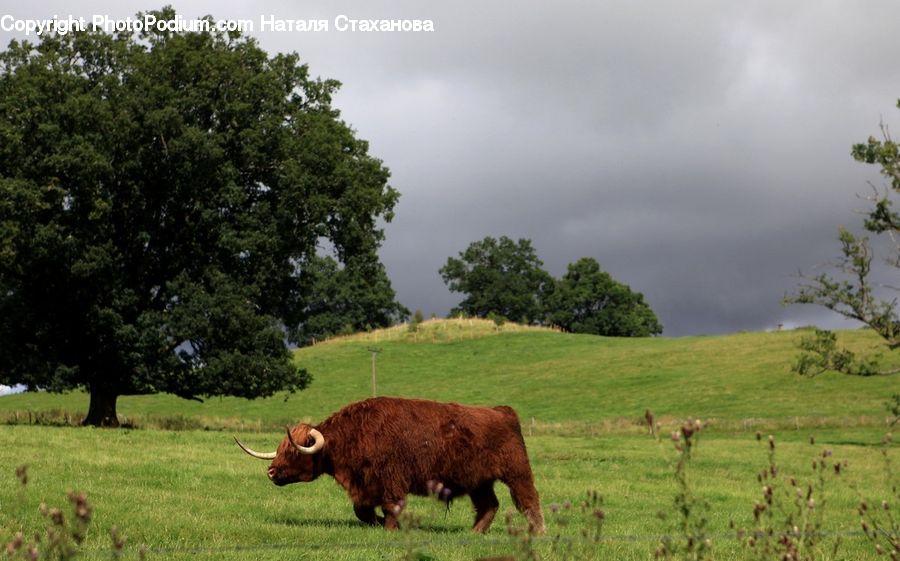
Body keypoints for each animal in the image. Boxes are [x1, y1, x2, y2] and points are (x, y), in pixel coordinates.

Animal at [234, 396, 540, 532]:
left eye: (295, 452)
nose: (271, 471)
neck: (353, 434)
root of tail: (502, 411)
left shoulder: (391, 481)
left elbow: (392, 507)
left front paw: (392, 527)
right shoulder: (366, 487)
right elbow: (362, 511)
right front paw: (381, 522)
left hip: (517, 472)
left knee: (528, 501)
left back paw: (537, 532)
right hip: (479, 481)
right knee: (489, 505)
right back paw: (475, 532)